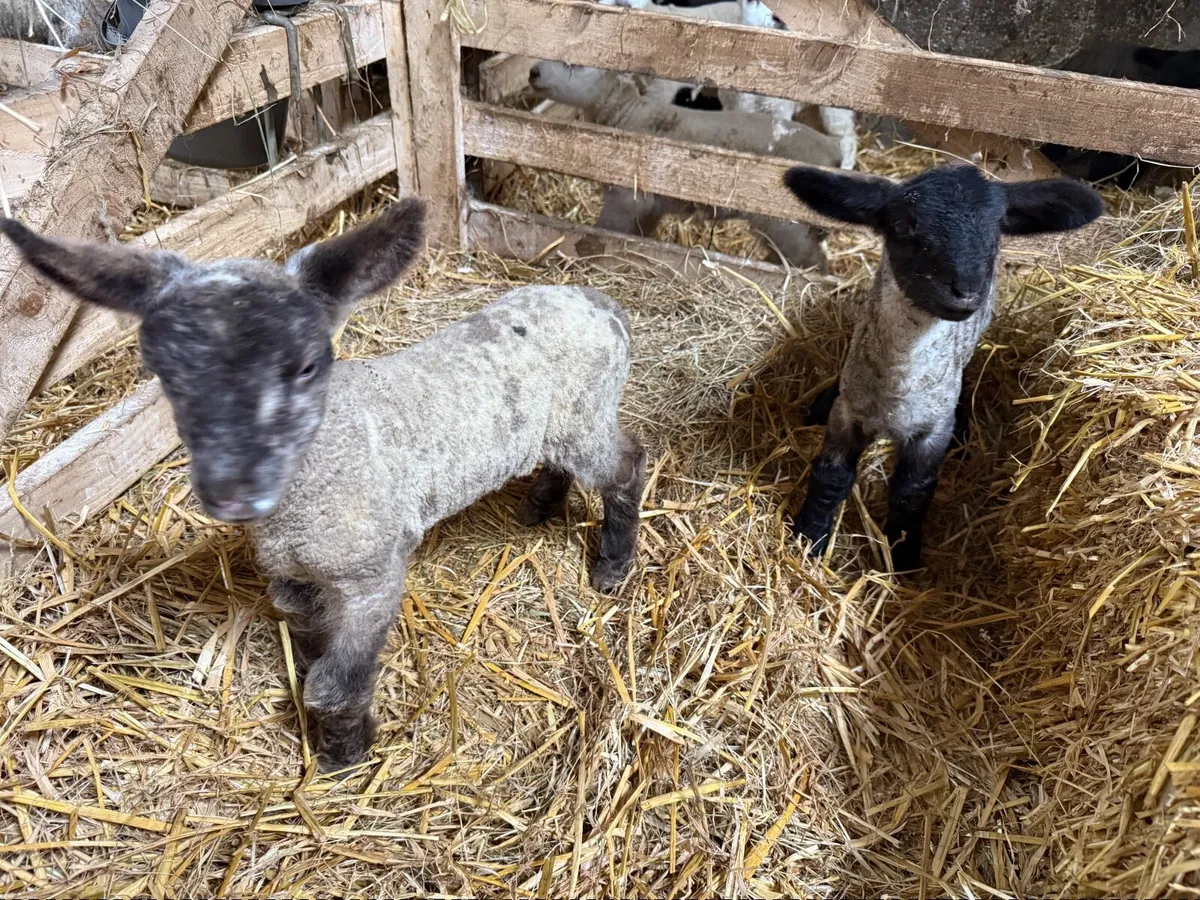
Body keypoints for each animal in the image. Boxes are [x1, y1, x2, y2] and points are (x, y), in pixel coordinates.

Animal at [0, 199, 646, 773]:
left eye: (308, 366)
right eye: (164, 375)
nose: (234, 490)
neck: (309, 488)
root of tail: (595, 299)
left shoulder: (372, 576)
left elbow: (335, 682)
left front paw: (344, 756)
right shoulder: (292, 579)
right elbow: (311, 656)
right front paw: (326, 729)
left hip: (586, 415)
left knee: (627, 464)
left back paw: (613, 564)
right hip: (560, 423)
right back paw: (540, 506)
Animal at [529, 60, 839, 269]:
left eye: (577, 65)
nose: (533, 72)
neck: (627, 115)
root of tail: (832, 152)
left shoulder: (625, 200)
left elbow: (609, 231)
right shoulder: (648, 206)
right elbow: (640, 233)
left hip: (788, 224)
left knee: (812, 263)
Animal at [782, 164, 1104, 570]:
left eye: (997, 230)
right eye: (903, 226)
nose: (966, 291)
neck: (897, 388)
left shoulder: (932, 428)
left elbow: (912, 492)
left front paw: (903, 557)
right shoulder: (848, 414)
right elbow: (831, 476)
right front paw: (809, 538)